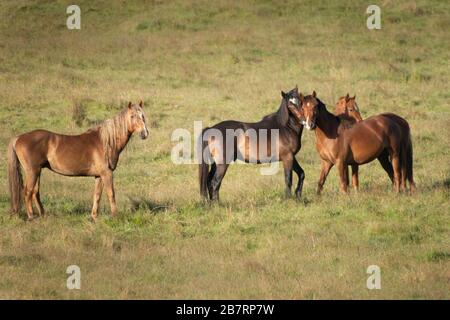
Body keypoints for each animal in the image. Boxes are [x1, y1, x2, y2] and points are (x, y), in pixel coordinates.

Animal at [7, 102, 149, 220]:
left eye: (143, 116)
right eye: (132, 116)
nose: (145, 134)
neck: (106, 141)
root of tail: (18, 138)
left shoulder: (99, 176)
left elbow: (97, 195)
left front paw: (94, 217)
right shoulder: (107, 173)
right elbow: (111, 194)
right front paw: (115, 216)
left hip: (37, 171)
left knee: (35, 192)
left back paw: (43, 215)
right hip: (32, 171)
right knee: (27, 192)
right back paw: (31, 217)